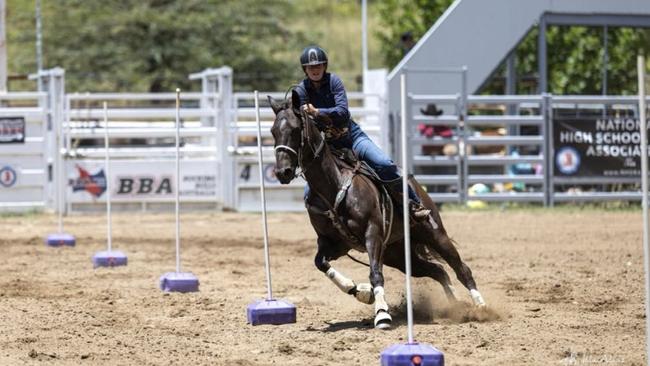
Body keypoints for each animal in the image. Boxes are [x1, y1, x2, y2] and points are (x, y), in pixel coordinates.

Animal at [266, 90, 484, 330]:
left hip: (435, 234)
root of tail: (417, 186)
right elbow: (320, 263)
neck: (334, 186)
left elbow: (375, 274)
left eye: (296, 129)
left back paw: (481, 307)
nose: (283, 172)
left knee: (461, 269)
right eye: (273, 131)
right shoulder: (334, 243)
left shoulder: (372, 234)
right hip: (397, 254)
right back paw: (455, 305)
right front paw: (359, 291)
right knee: (438, 271)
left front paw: (381, 313)